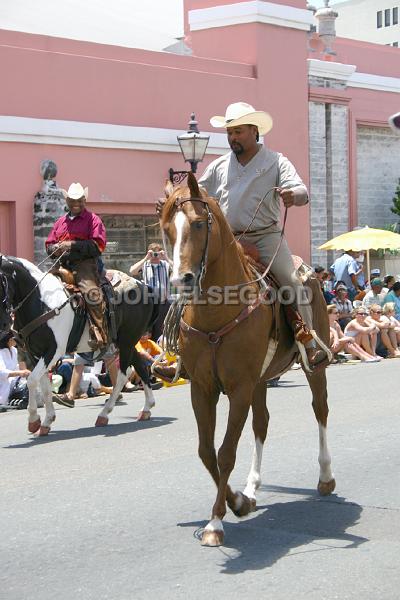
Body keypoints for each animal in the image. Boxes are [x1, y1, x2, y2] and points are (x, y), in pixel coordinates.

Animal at [0, 254, 159, 436]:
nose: (4, 324)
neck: (42, 302)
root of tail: (142, 285)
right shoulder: (34, 354)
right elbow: (43, 385)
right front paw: (46, 421)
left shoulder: (53, 351)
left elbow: (32, 380)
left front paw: (34, 420)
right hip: (128, 342)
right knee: (141, 367)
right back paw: (146, 408)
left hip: (127, 341)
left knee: (123, 375)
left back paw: (104, 413)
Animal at [159, 171, 334, 548]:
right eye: (167, 228)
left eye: (198, 223)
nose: (182, 279)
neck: (217, 311)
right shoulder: (203, 388)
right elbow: (207, 451)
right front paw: (239, 501)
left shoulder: (238, 388)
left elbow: (225, 452)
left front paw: (216, 522)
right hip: (261, 380)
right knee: (262, 423)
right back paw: (252, 487)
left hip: (313, 367)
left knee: (321, 410)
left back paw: (326, 476)